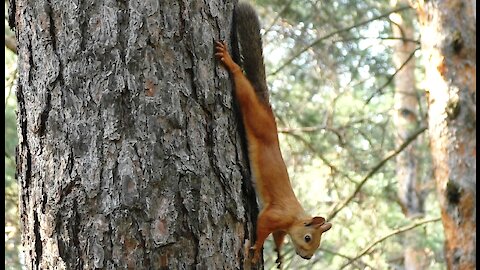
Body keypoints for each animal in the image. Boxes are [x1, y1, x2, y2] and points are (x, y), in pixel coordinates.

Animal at [216, 2, 332, 268]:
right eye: (308, 238)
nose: (307, 256)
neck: (294, 217)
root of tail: (267, 109)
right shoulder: (274, 214)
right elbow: (263, 227)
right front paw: (258, 247)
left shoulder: (281, 227)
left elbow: (278, 237)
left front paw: (278, 253)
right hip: (255, 116)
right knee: (243, 87)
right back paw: (230, 63)